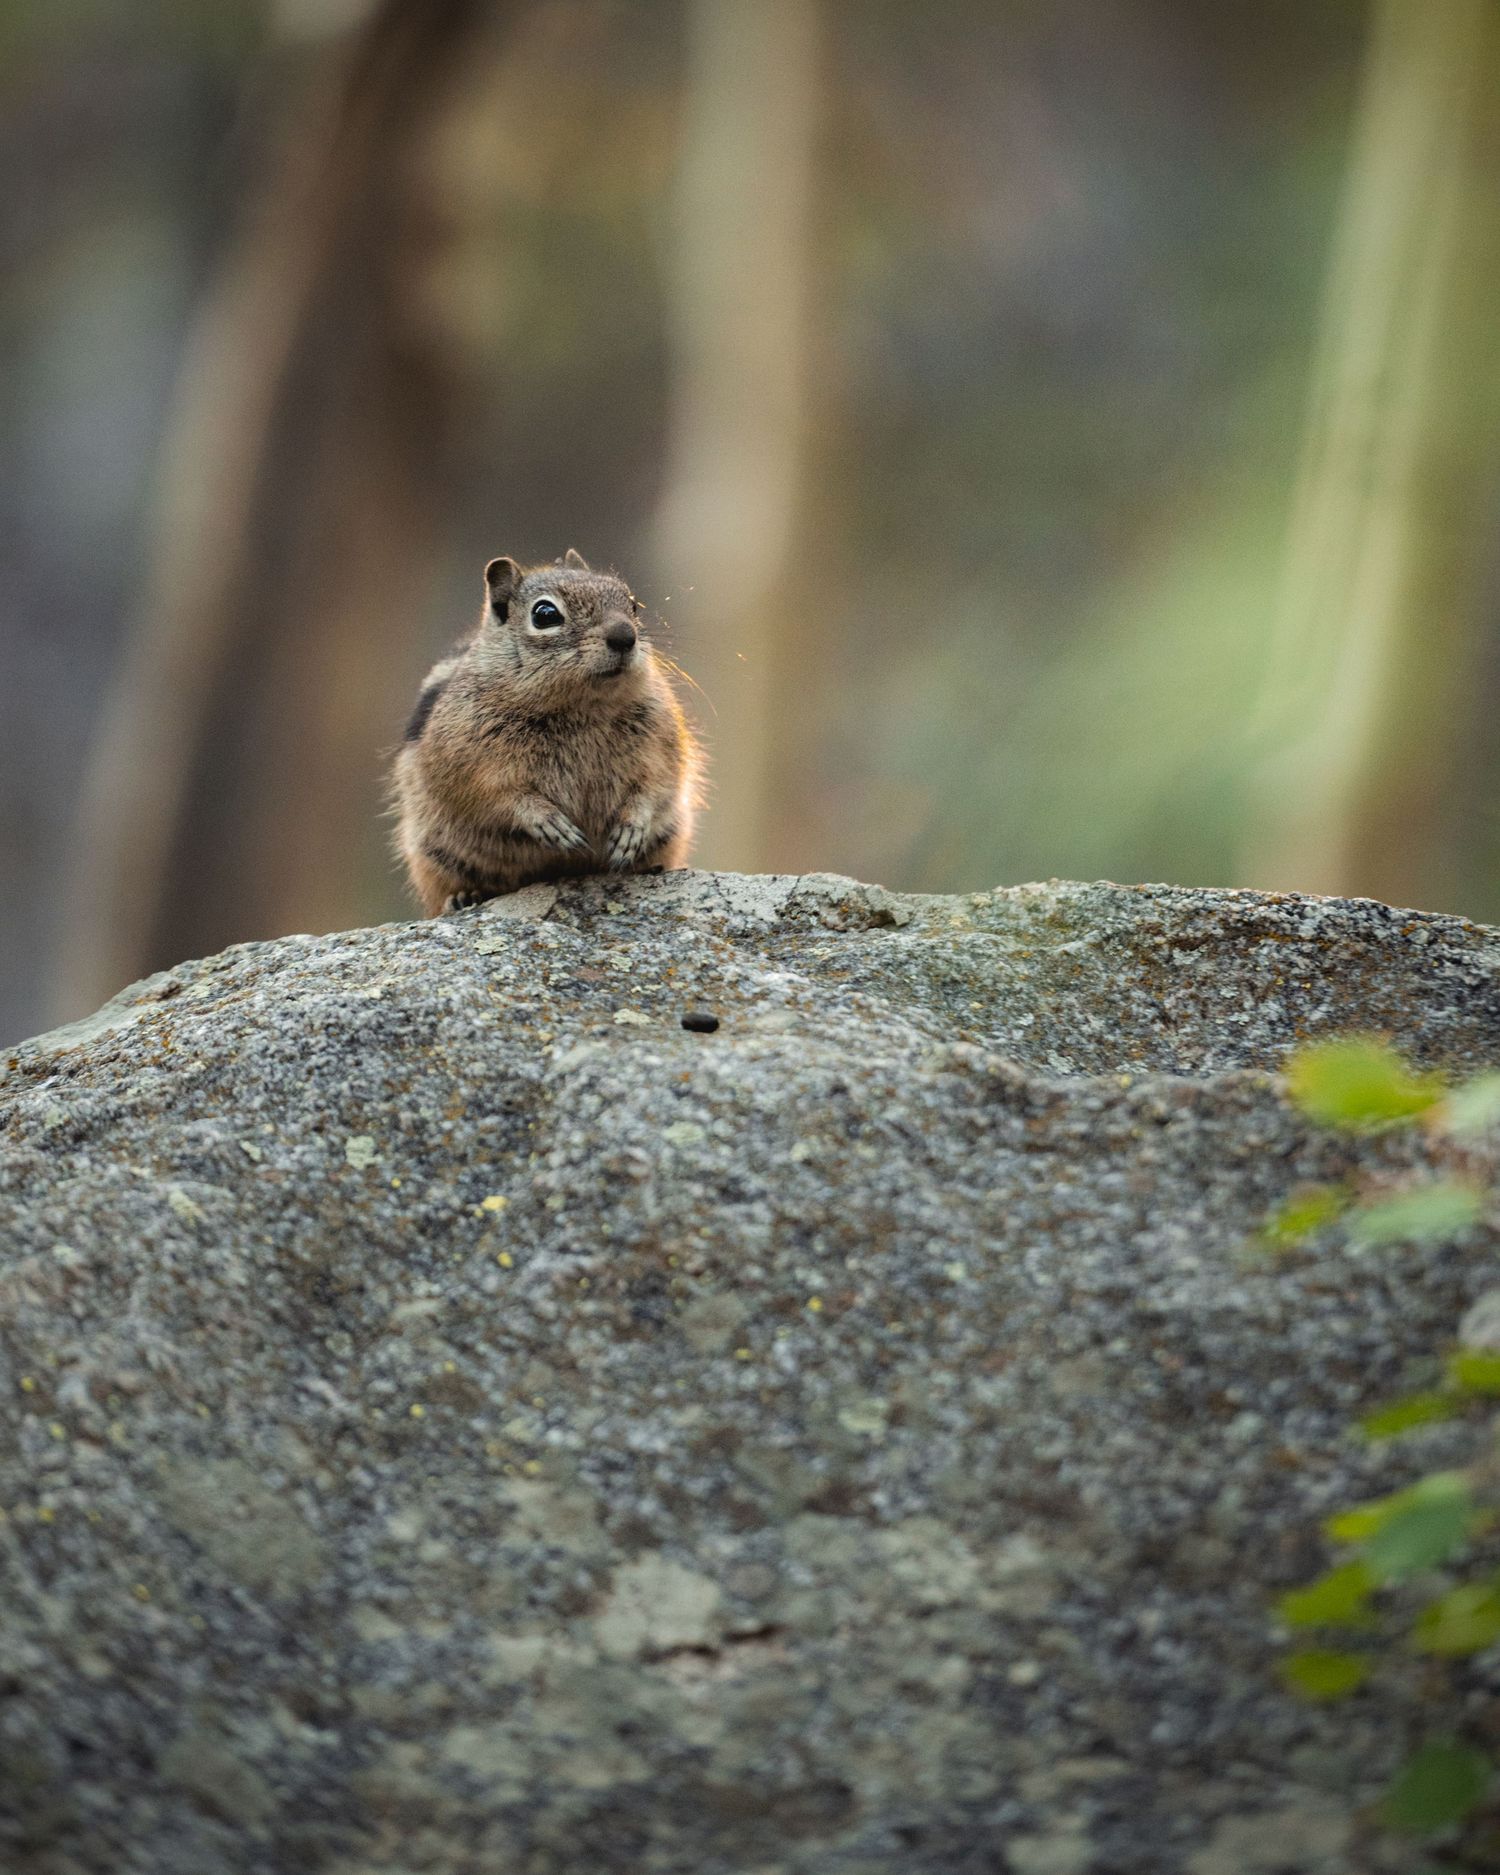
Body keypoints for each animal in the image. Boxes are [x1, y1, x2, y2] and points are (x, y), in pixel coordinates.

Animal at [391, 549, 704, 914]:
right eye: (545, 614)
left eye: (632, 604)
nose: (625, 636)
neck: (582, 709)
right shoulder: (467, 763)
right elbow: (498, 797)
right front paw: (548, 822)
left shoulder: (661, 746)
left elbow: (655, 787)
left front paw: (631, 829)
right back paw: (464, 897)